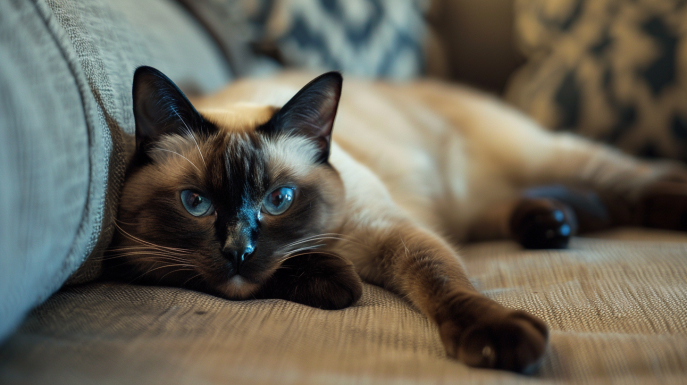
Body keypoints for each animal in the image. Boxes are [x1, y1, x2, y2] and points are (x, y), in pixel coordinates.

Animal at [106, 66, 687, 372]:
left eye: (278, 199)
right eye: (195, 204)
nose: (237, 250)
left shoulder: (393, 234)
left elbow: (441, 279)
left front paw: (496, 338)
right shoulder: (136, 254)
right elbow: (322, 276)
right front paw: (334, 280)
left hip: (549, 159)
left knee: (636, 182)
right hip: (475, 207)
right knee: (563, 205)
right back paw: (549, 226)